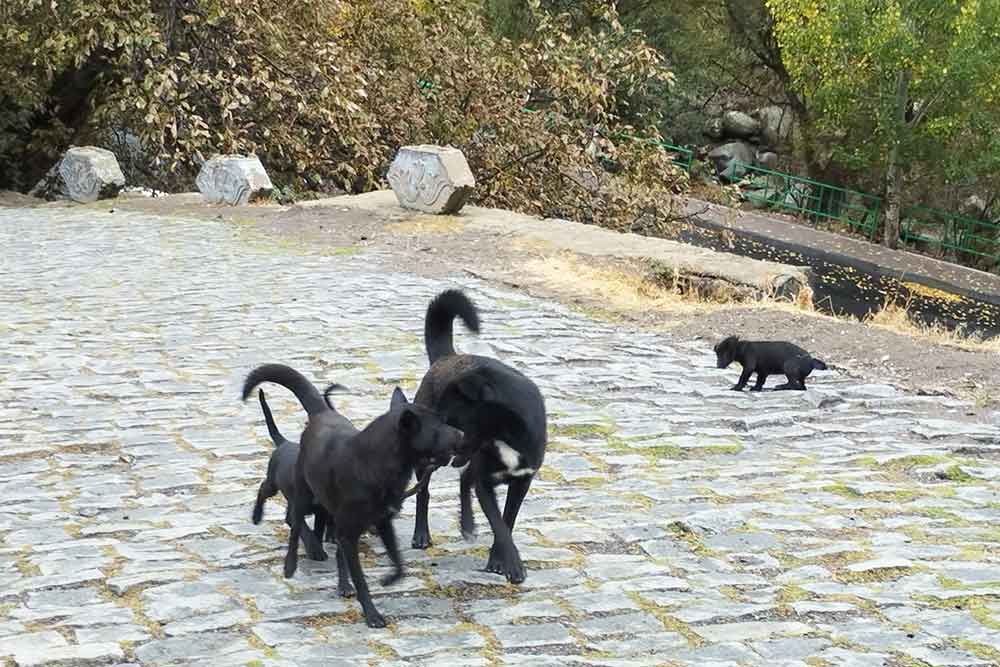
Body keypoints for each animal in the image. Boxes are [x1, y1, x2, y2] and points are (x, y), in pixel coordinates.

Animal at [252, 388, 330, 544]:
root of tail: (284, 442)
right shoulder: (296, 512)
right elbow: (307, 533)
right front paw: (314, 548)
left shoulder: (321, 513)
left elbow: (317, 532)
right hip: (272, 484)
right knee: (263, 488)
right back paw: (256, 516)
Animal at [408, 288, 548, 584]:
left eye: (450, 418)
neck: (505, 436)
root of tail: (446, 357)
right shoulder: (484, 481)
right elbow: (499, 525)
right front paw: (512, 565)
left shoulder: (521, 481)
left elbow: (507, 521)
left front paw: (498, 560)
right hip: (428, 463)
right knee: (424, 493)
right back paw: (423, 534)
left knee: (463, 480)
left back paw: (467, 524)